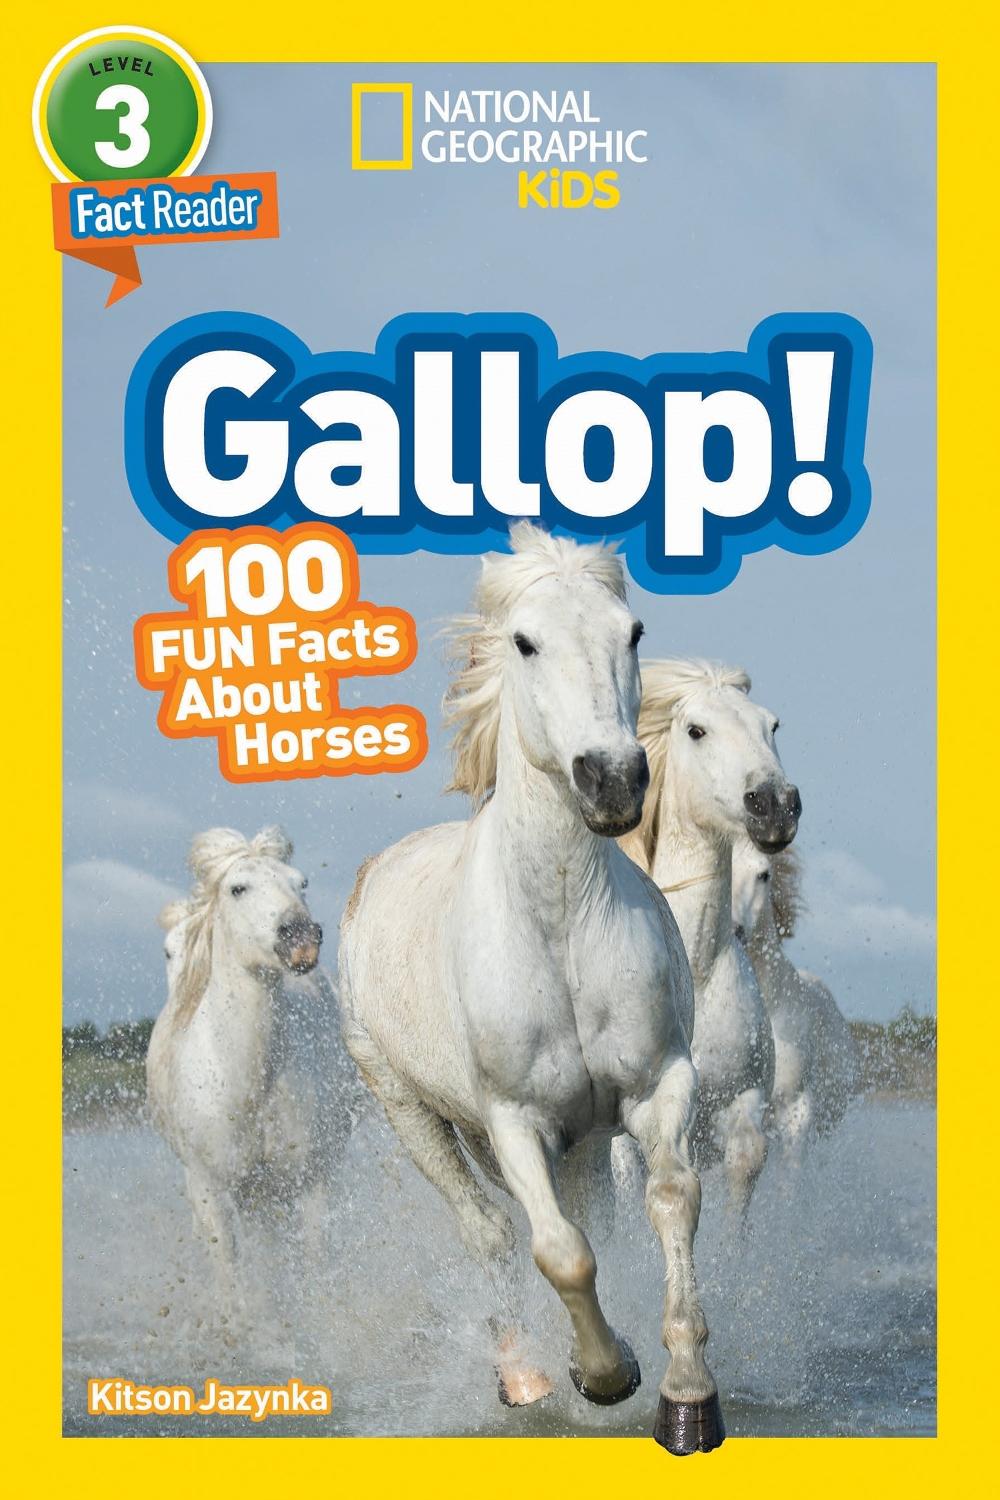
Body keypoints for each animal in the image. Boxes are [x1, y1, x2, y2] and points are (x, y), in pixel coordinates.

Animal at [147, 825, 353, 1320]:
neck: (247, 1084)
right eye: (238, 888)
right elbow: (229, 1270)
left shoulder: (308, 1178)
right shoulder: (211, 1189)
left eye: (302, 883)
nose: (300, 936)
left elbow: (313, 1258)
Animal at [339, 523, 724, 1455]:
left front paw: (685, 1397)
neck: (559, 922)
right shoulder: (513, 1118)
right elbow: (560, 1250)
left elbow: (670, 1199)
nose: (613, 779)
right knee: (487, 1230)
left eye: (633, 632)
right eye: (524, 641)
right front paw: (603, 1375)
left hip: (578, 1139)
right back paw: (523, 1376)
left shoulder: (657, 1085)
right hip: (411, 1108)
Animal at [618, 660, 801, 1215]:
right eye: (696, 730)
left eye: (773, 724)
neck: (695, 972)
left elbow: (745, 1164)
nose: (775, 805)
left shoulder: (745, 1104)